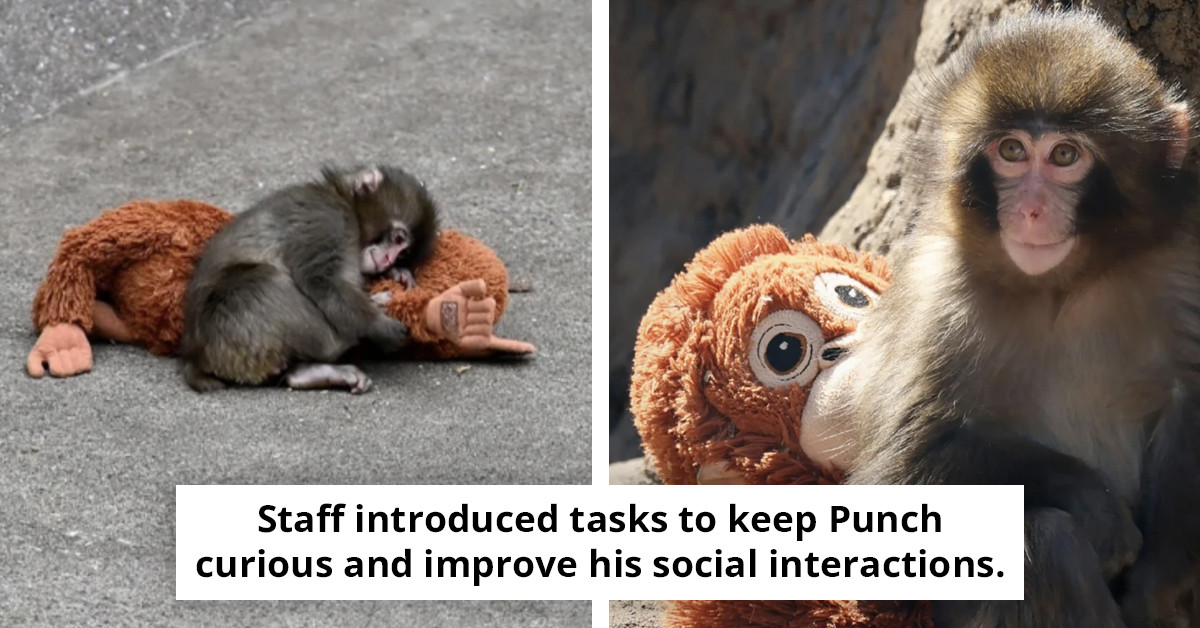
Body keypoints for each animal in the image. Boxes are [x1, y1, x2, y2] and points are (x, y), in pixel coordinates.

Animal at [180, 165, 439, 393]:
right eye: (398, 239)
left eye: (403, 253)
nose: (388, 260)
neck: (344, 202)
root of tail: (197, 358)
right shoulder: (328, 219)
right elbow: (320, 280)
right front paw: (379, 325)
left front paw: (397, 273)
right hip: (230, 328)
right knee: (265, 280)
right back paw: (344, 339)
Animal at [840, 12, 1200, 627]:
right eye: (1011, 150)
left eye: (1064, 156)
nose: (1030, 210)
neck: (1064, 286)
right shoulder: (937, 293)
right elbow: (897, 473)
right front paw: (1093, 503)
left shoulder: (1183, 259)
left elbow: (1189, 397)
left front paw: (1162, 581)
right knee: (1042, 543)